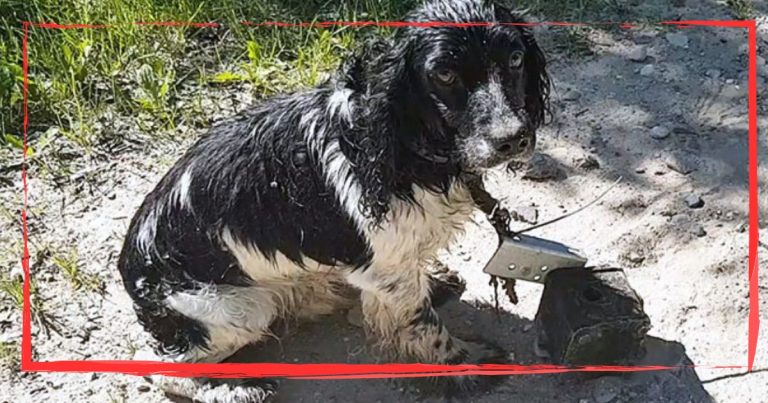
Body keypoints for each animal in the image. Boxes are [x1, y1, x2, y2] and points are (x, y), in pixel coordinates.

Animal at [117, 0, 548, 400]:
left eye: (515, 59)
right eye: (444, 74)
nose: (513, 138)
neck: (406, 143)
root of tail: (129, 267)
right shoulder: (389, 266)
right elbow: (423, 324)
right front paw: (466, 364)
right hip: (238, 308)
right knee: (157, 367)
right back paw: (235, 389)